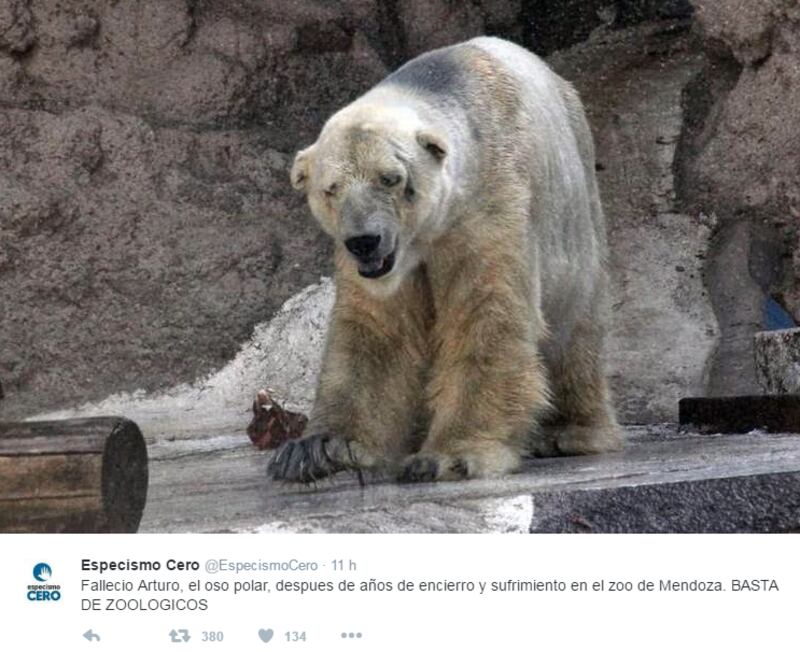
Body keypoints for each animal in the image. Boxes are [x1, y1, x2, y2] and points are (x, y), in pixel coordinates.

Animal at [268, 36, 622, 483]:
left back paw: (570, 431)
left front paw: (448, 455)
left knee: (575, 327)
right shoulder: (381, 266)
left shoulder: (487, 210)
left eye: (391, 178)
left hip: (577, 215)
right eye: (331, 188)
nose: (364, 241)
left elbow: (485, 314)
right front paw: (316, 449)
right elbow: (378, 331)